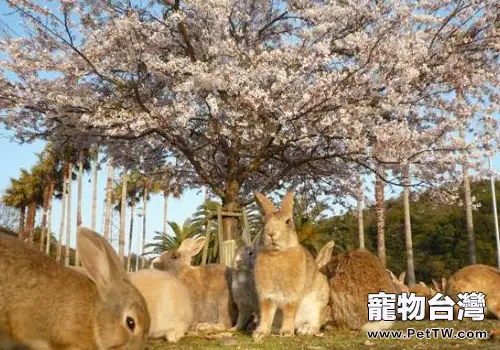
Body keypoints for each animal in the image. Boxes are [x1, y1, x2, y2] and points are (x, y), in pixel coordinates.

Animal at [252, 191, 330, 342]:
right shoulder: (266, 296)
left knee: (316, 323)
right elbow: (266, 314)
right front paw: (259, 334)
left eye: (288, 222)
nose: (271, 234)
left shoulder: (292, 296)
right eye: (263, 223)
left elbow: (289, 312)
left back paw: (305, 330)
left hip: (318, 305)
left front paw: (287, 333)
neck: (277, 254)